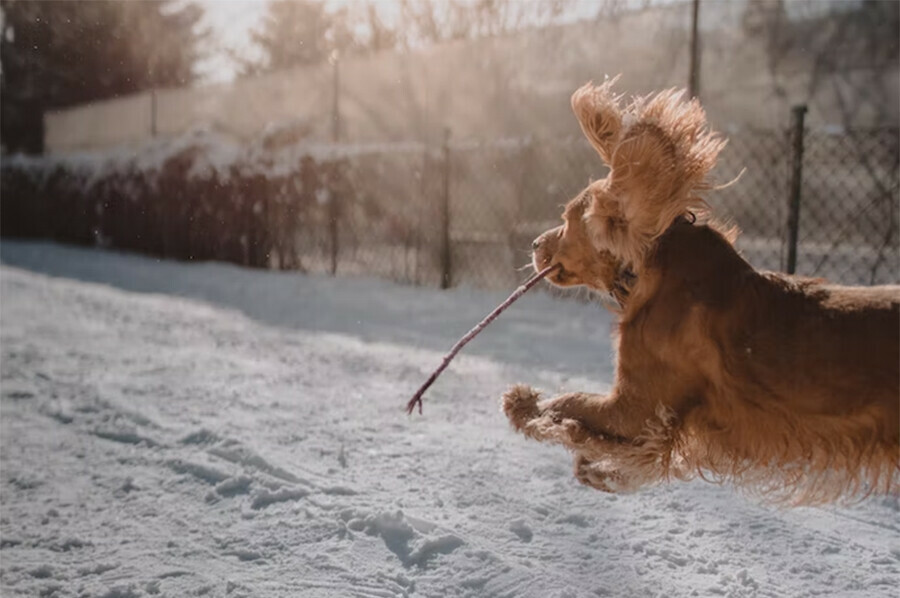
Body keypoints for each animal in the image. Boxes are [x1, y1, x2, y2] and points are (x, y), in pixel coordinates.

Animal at [502, 77, 896, 504]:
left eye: (567, 220)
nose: (535, 244)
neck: (650, 268)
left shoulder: (635, 408)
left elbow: (569, 402)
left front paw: (524, 406)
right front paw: (595, 466)